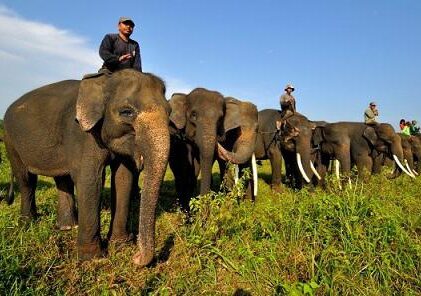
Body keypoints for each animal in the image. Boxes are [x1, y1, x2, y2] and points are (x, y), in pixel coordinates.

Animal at [2, 70, 171, 266]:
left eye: (169, 112)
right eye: (126, 112)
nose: (136, 258)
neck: (105, 80)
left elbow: (123, 178)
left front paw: (120, 245)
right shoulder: (82, 134)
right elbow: (90, 179)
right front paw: (93, 258)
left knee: (62, 179)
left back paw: (67, 227)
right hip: (10, 140)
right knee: (27, 180)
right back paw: (28, 224)